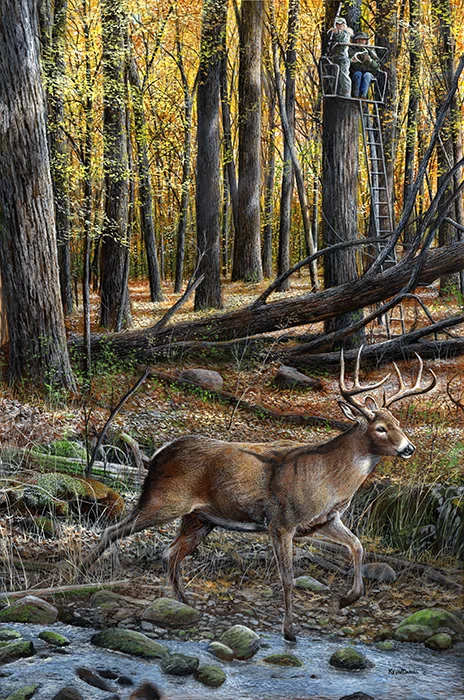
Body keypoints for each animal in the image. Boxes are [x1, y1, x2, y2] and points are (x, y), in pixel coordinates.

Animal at [81, 349, 436, 641]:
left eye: (398, 422)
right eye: (380, 428)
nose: (409, 448)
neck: (329, 478)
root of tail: (154, 456)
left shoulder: (324, 520)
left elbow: (358, 546)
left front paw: (348, 598)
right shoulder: (281, 521)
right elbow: (288, 578)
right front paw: (290, 631)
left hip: (199, 518)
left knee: (170, 552)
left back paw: (185, 604)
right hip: (163, 500)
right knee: (113, 530)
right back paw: (84, 573)